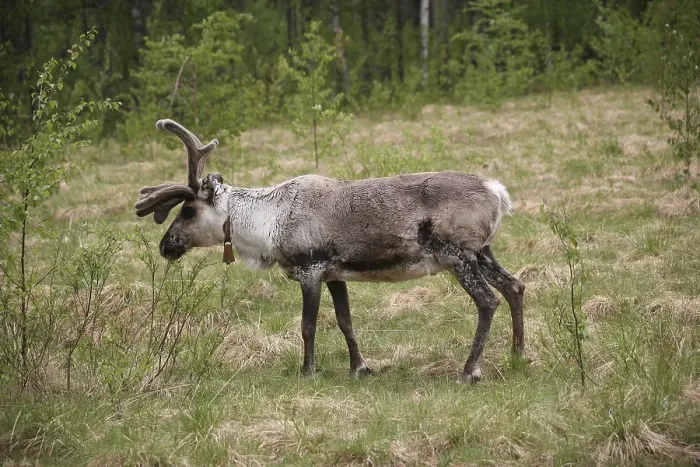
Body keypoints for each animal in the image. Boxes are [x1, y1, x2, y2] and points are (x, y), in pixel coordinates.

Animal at [134, 119, 526, 383]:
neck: (267, 222)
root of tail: (498, 192)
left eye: (187, 210)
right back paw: (518, 355)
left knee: (488, 300)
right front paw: (360, 368)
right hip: (483, 251)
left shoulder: (310, 270)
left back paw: (469, 371)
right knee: (515, 287)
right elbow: (345, 322)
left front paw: (307, 371)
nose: (166, 246)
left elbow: (308, 325)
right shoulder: (336, 273)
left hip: (458, 254)